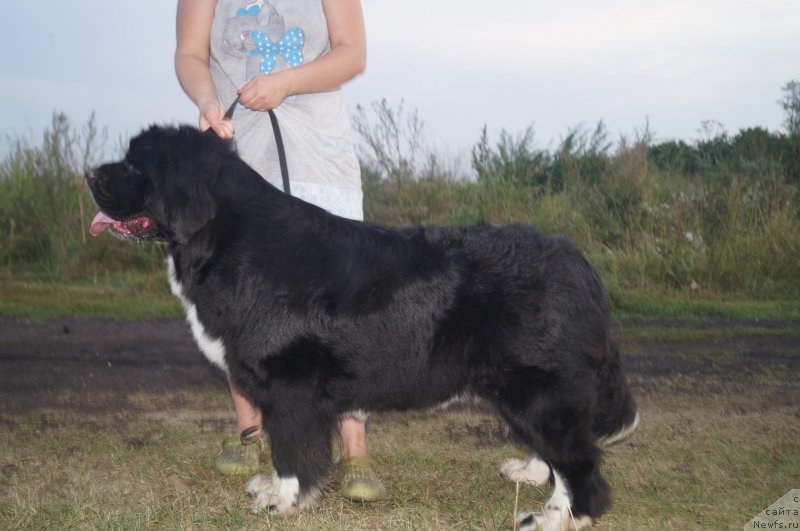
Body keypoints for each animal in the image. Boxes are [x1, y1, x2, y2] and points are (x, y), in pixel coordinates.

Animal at [86, 125, 636, 531]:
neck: (225, 237)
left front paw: (282, 500)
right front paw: (272, 487)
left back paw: (556, 517)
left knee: (580, 463)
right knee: (561, 451)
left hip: (535, 387)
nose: (89, 173)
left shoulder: (290, 385)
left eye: (133, 166)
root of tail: (578, 263)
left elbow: (292, 447)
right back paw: (530, 473)